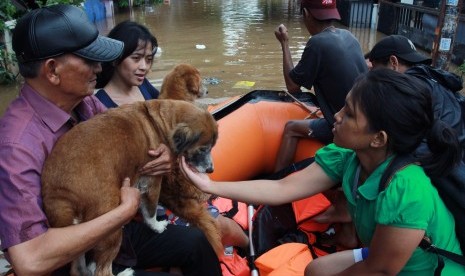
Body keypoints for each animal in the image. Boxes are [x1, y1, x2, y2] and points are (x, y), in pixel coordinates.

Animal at [41, 99, 221, 276]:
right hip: (109, 226)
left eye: (212, 148)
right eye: (203, 149)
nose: (211, 170)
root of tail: (62, 195)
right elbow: (150, 212)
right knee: (102, 270)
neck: (161, 121)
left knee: (80, 268)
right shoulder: (153, 181)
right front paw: (157, 227)